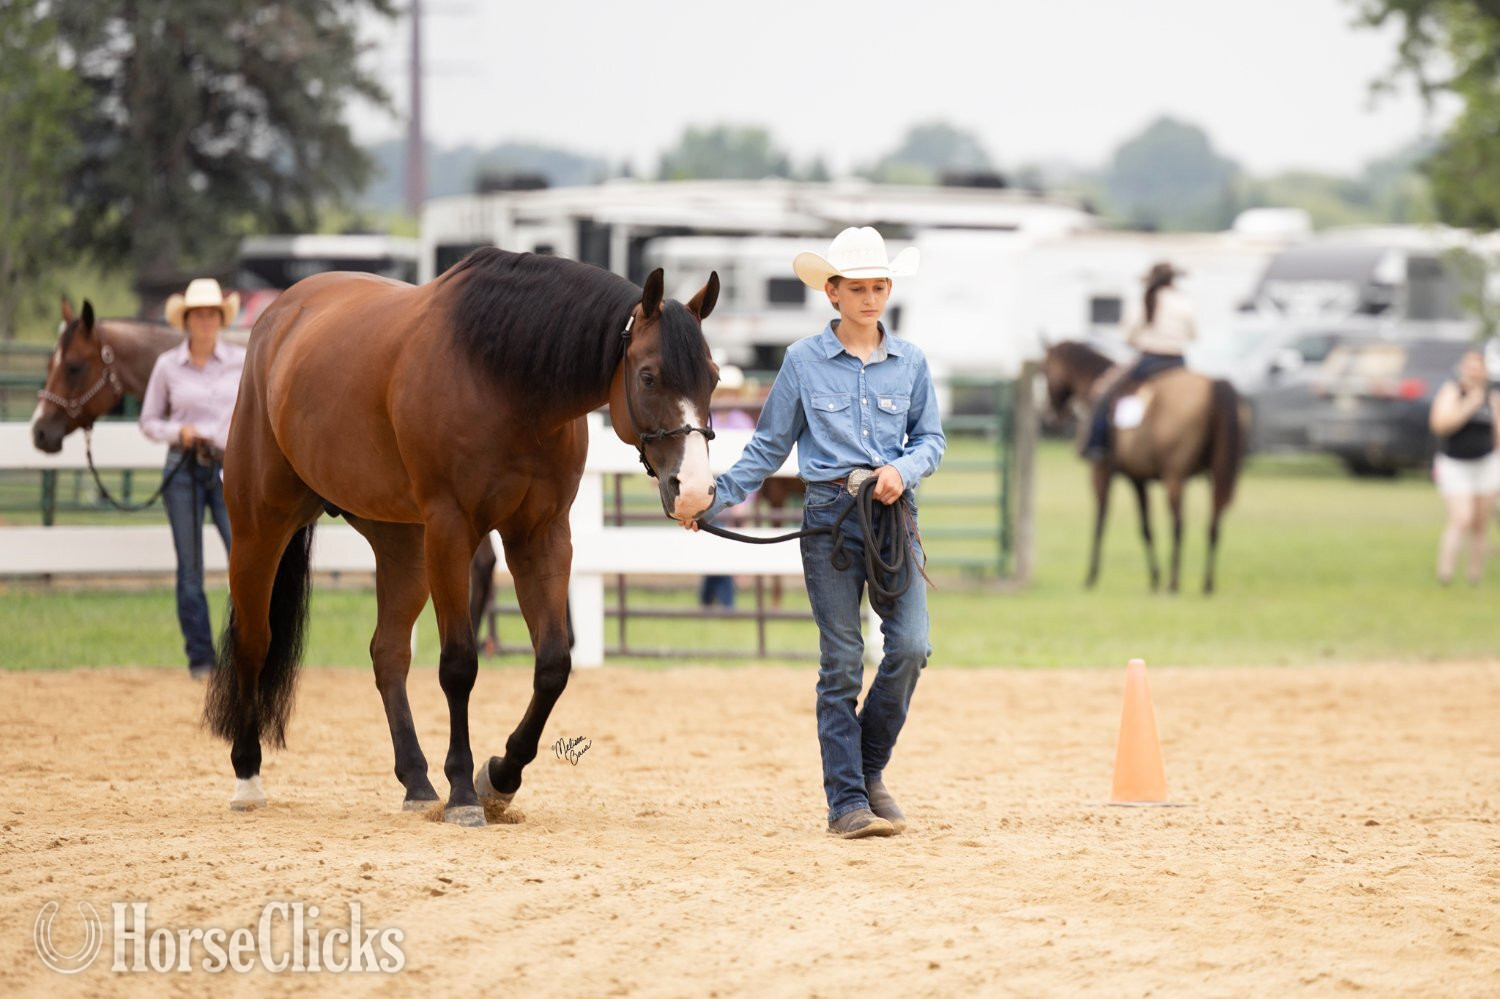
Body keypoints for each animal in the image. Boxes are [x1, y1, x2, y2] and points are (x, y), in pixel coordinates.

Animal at [204, 247, 721, 826]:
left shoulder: (542, 536)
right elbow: (458, 666)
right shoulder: (452, 531)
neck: (504, 380)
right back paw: (248, 778)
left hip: (402, 545)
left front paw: (500, 777)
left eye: (714, 377)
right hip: (260, 527)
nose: (693, 489)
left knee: (388, 653)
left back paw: (416, 781)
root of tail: (278, 316)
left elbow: (553, 665)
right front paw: (463, 792)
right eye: (650, 377)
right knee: (254, 642)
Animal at [1041, 341, 1245, 594]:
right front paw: (1154, 578)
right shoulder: (1138, 478)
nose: (1048, 415)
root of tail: (1216, 385)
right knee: (1214, 523)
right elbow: (1146, 527)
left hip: (1174, 476)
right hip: (1216, 473)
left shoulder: (1102, 472)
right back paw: (1206, 584)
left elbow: (1100, 521)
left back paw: (1174, 583)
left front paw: (1091, 576)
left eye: (1044, 370)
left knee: (1179, 524)